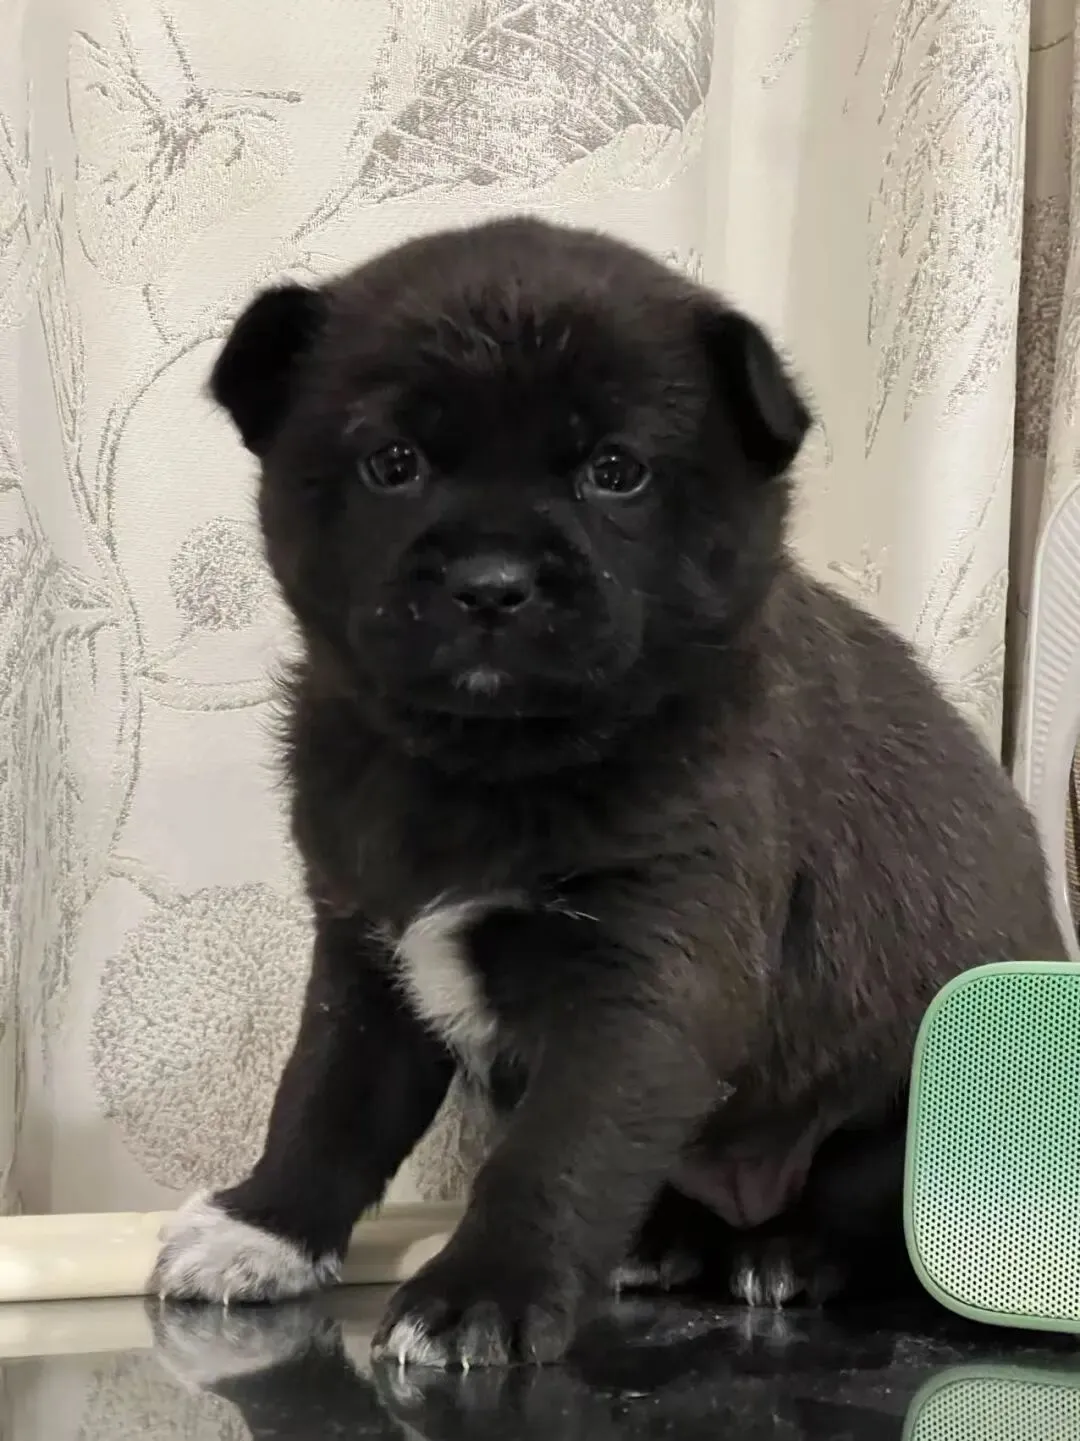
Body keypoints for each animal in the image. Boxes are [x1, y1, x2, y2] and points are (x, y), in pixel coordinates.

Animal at [151, 217, 1066, 1367]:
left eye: (616, 471)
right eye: (393, 463)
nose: (492, 584)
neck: (485, 762)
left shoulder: (646, 973)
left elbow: (559, 1146)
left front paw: (482, 1290)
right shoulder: (367, 956)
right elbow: (325, 1098)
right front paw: (265, 1227)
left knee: (864, 1218)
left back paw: (794, 1255)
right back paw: (658, 1245)